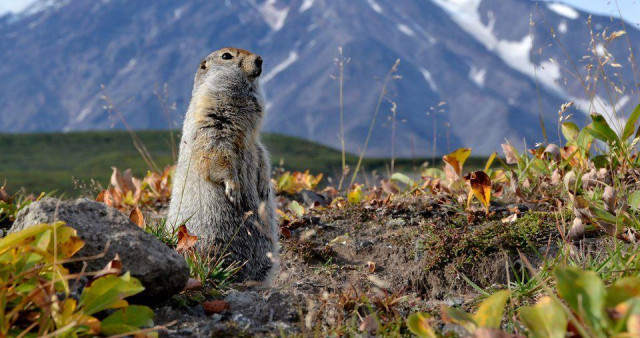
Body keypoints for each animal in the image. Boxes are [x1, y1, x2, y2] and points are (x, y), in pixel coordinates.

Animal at [169, 46, 278, 282]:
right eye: (226, 56)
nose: (260, 59)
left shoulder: (255, 142)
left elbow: (262, 154)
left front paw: (265, 186)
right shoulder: (211, 125)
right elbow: (218, 154)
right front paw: (234, 190)